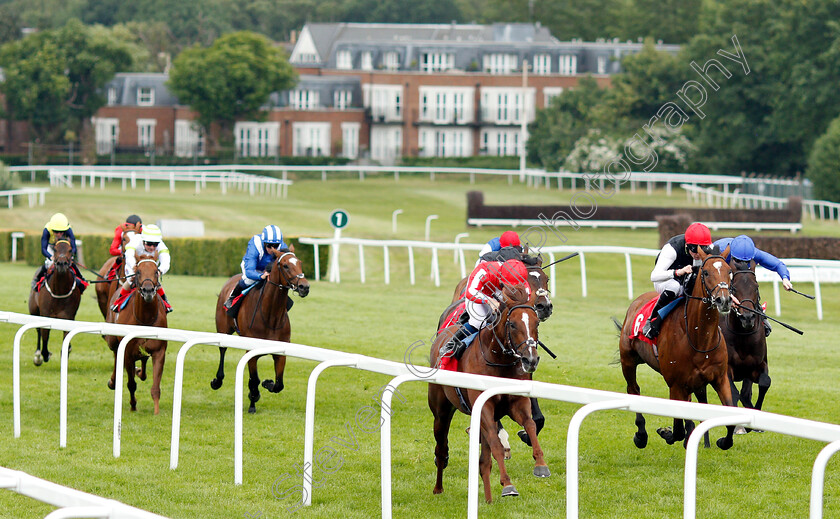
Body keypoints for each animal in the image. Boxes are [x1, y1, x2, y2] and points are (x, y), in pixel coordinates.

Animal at [104, 250, 168, 416]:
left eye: (156, 271)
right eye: (138, 272)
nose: (148, 291)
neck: (145, 318)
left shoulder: (159, 351)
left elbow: (155, 387)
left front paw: (156, 412)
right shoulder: (127, 351)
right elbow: (131, 383)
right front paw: (133, 406)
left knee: (142, 360)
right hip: (113, 340)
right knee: (115, 354)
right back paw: (113, 381)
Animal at [212, 247, 310, 414]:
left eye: (300, 263)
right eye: (285, 265)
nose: (304, 286)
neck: (270, 316)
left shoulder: (280, 352)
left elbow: (279, 384)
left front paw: (267, 383)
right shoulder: (251, 351)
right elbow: (254, 380)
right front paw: (253, 401)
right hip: (223, 330)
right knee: (222, 350)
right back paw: (217, 380)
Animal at [430, 284, 548, 504]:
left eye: (536, 323)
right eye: (512, 324)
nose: (530, 359)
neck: (498, 360)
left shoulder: (516, 403)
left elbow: (530, 425)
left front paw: (541, 465)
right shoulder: (484, 406)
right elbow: (496, 443)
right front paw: (508, 484)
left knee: (484, 461)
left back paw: (487, 498)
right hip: (441, 412)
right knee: (441, 448)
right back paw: (438, 488)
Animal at [616, 248, 736, 450]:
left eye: (729, 271)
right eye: (705, 272)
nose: (724, 300)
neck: (699, 338)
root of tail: (637, 301)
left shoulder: (719, 379)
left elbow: (731, 419)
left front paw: (721, 440)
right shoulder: (675, 384)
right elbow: (678, 429)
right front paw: (667, 433)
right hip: (628, 360)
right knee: (633, 389)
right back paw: (641, 435)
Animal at [720, 262, 768, 416]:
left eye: (756, 287)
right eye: (734, 288)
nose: (747, 317)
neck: (743, 335)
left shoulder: (757, 365)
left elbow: (764, 383)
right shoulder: (726, 369)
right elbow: (733, 394)